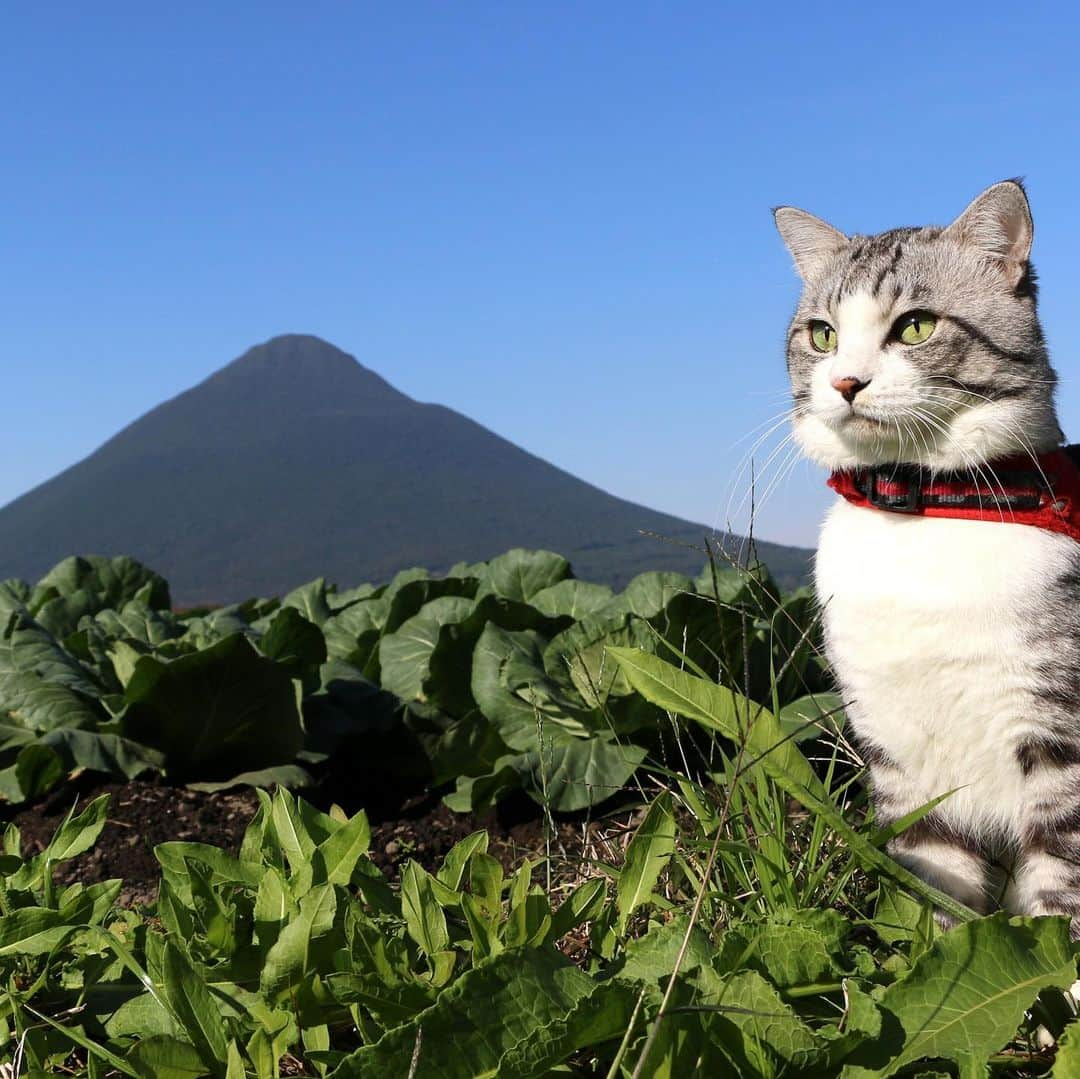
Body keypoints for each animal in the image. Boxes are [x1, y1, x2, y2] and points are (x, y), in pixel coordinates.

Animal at [773, 181, 1080, 933]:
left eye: (915, 326)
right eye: (822, 334)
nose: (846, 381)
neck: (924, 513)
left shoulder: (1061, 737)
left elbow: (1059, 898)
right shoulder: (900, 753)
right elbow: (934, 892)